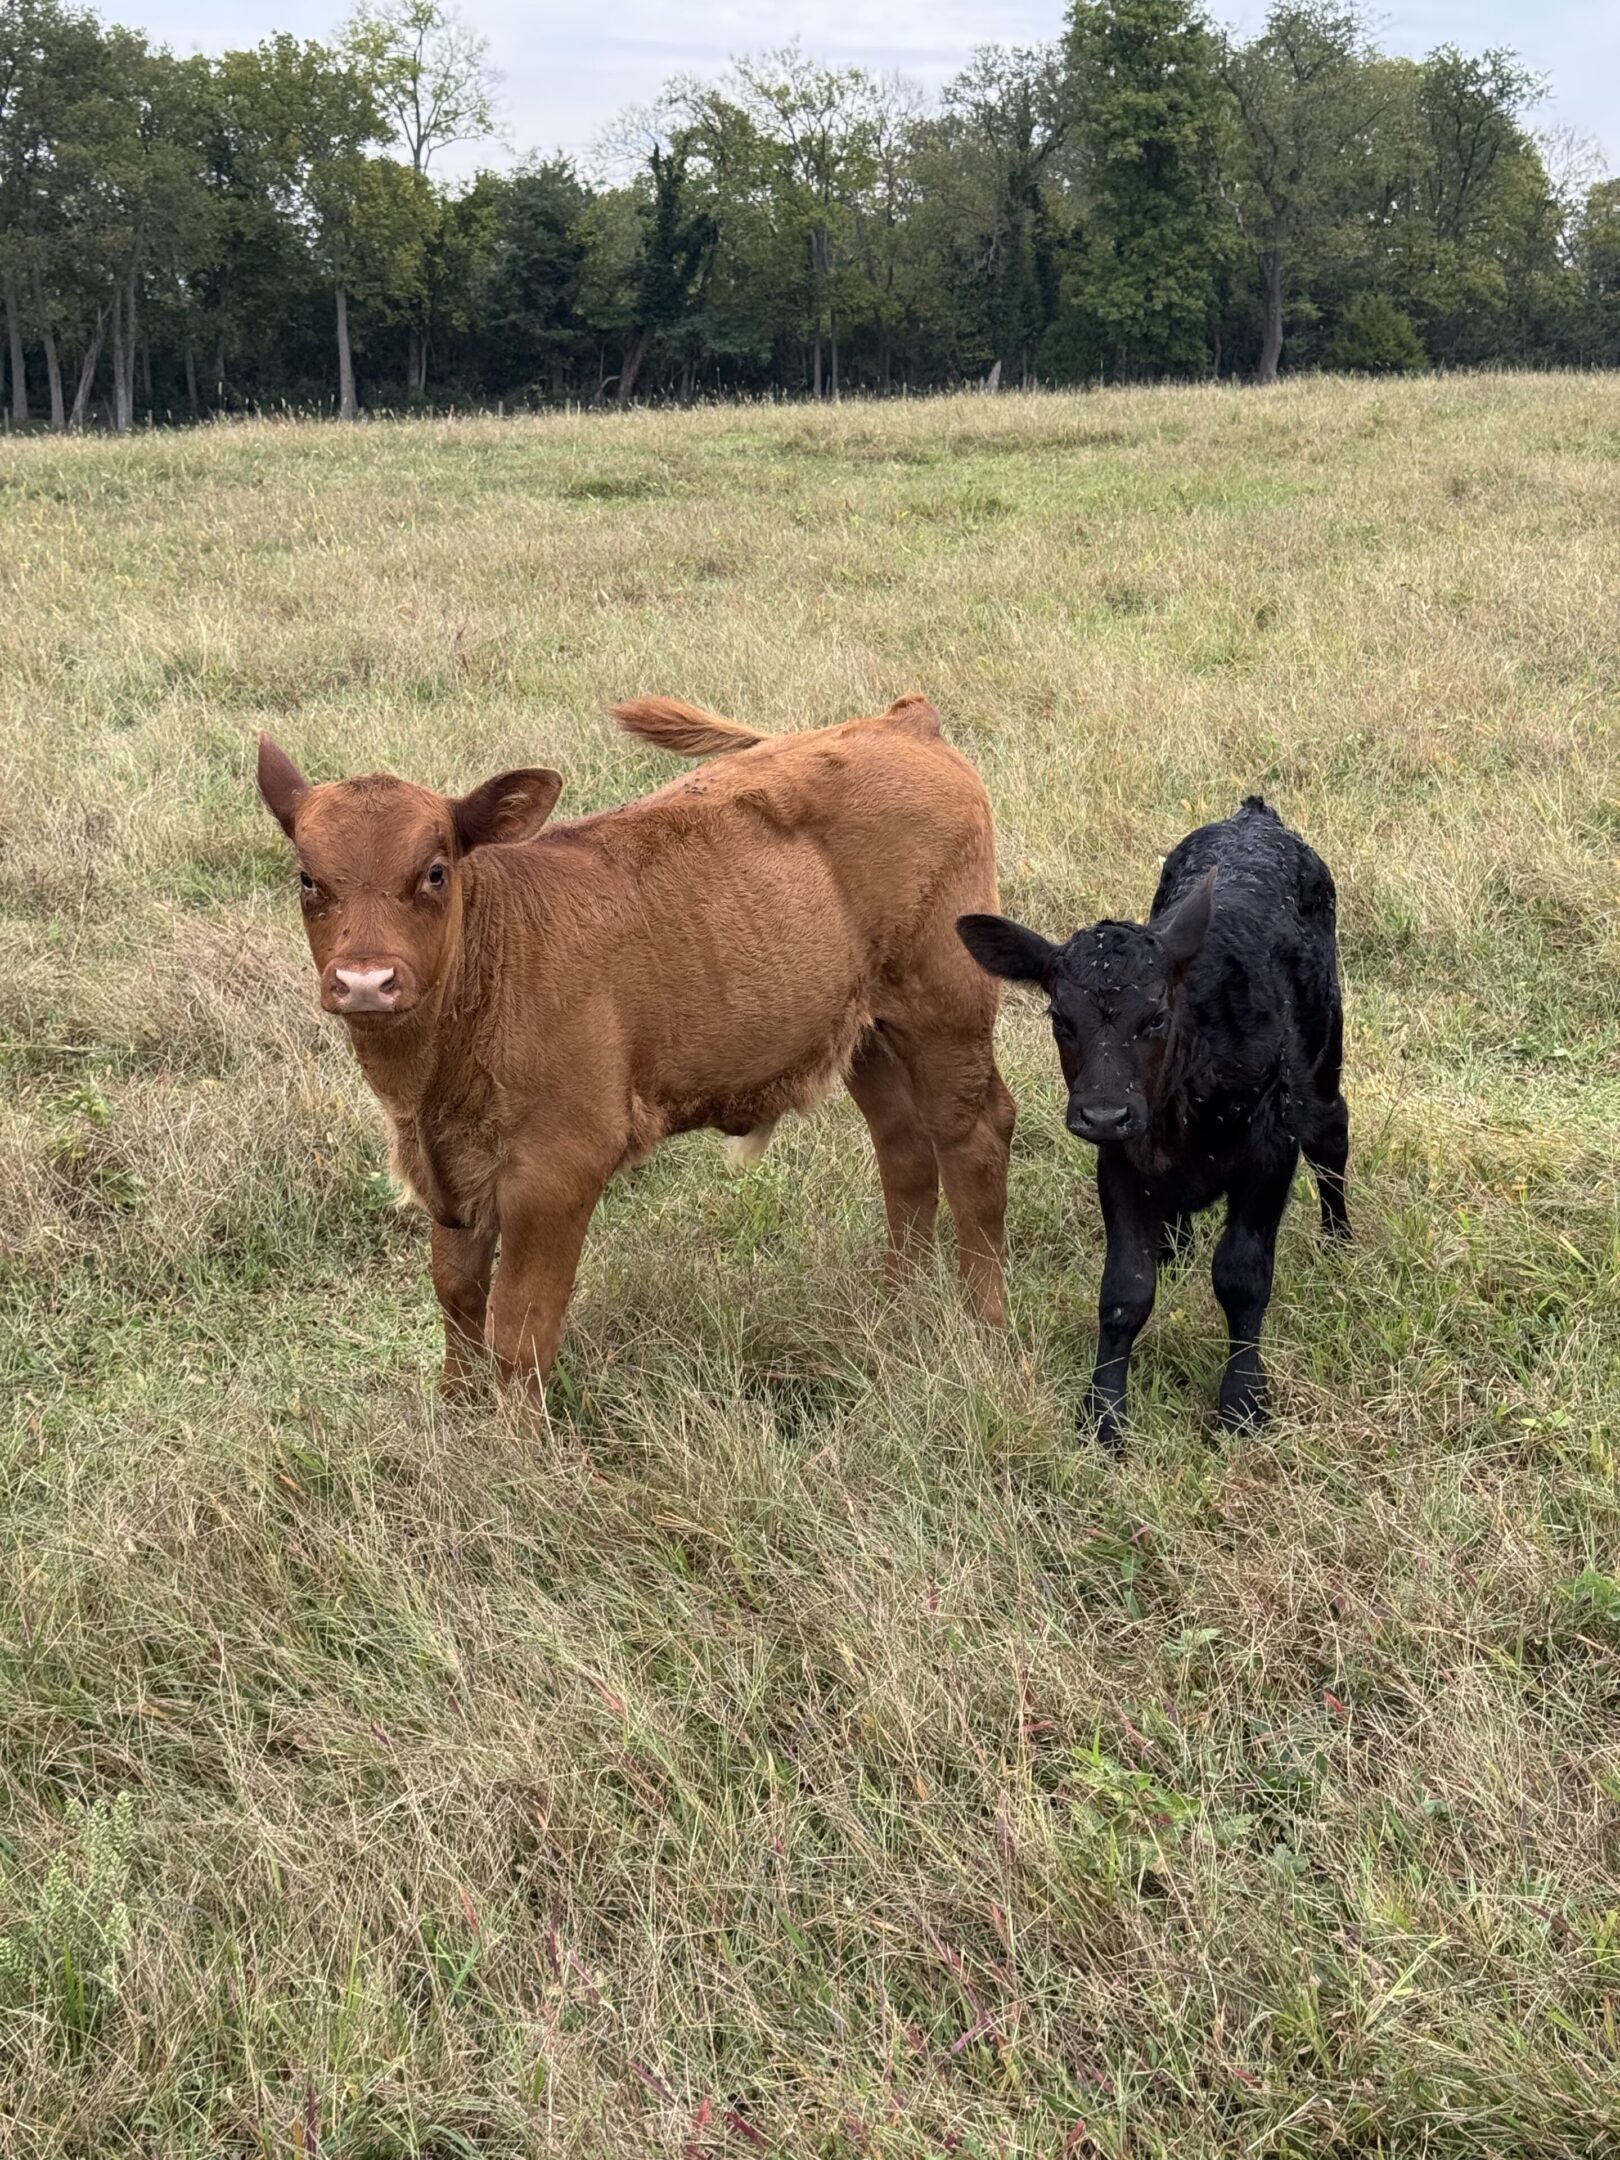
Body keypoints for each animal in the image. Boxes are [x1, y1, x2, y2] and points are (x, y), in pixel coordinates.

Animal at [256, 694, 1016, 1393]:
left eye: (435, 871)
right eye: (307, 879)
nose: (365, 981)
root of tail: (900, 721)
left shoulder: (555, 1172)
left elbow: (521, 1331)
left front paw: (517, 1450)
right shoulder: (451, 1173)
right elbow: (457, 1298)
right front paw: (454, 1418)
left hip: (945, 1009)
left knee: (972, 1137)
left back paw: (984, 1325)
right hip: (863, 1030)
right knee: (903, 1146)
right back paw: (897, 1306)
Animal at [957, 797, 1349, 1452]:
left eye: (1157, 1017)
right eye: (1059, 1018)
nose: (1104, 1111)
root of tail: (1253, 817)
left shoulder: (1271, 1149)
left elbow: (1242, 1276)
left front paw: (1243, 1404)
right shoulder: (1118, 1160)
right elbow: (1125, 1290)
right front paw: (1103, 1414)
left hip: (1322, 1065)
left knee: (1334, 1137)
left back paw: (1340, 1242)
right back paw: (1176, 1246)